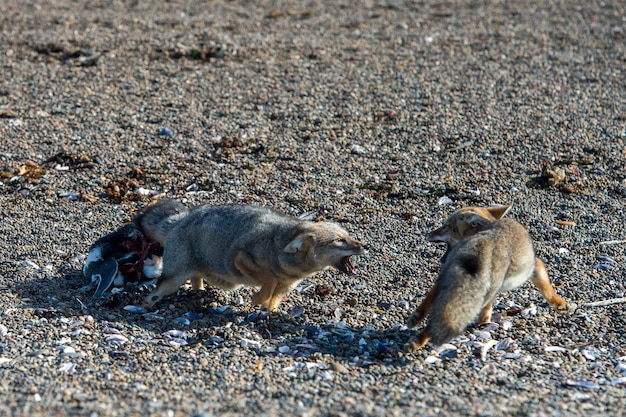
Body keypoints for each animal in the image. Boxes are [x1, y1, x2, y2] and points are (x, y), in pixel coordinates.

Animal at [404, 205, 572, 352]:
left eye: (445, 226)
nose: (427, 234)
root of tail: (485, 240)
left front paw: (484, 321)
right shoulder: (534, 266)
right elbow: (547, 288)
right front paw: (560, 304)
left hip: (449, 278)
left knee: (432, 301)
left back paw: (415, 321)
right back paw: (418, 341)